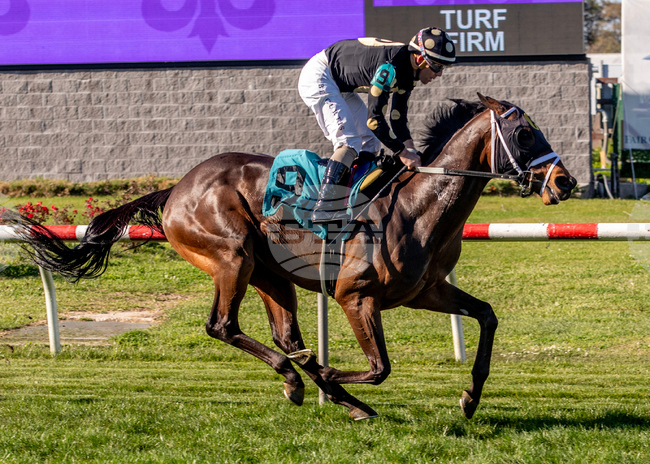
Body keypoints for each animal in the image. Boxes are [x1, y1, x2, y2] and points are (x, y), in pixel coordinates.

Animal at [5, 94, 576, 420]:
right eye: (525, 133)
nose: (566, 183)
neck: (419, 206)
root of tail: (176, 188)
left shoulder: (426, 291)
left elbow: (487, 316)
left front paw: (470, 398)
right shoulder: (353, 295)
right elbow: (379, 367)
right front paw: (329, 375)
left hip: (270, 274)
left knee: (282, 334)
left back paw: (315, 384)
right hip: (231, 255)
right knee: (223, 326)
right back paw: (306, 379)